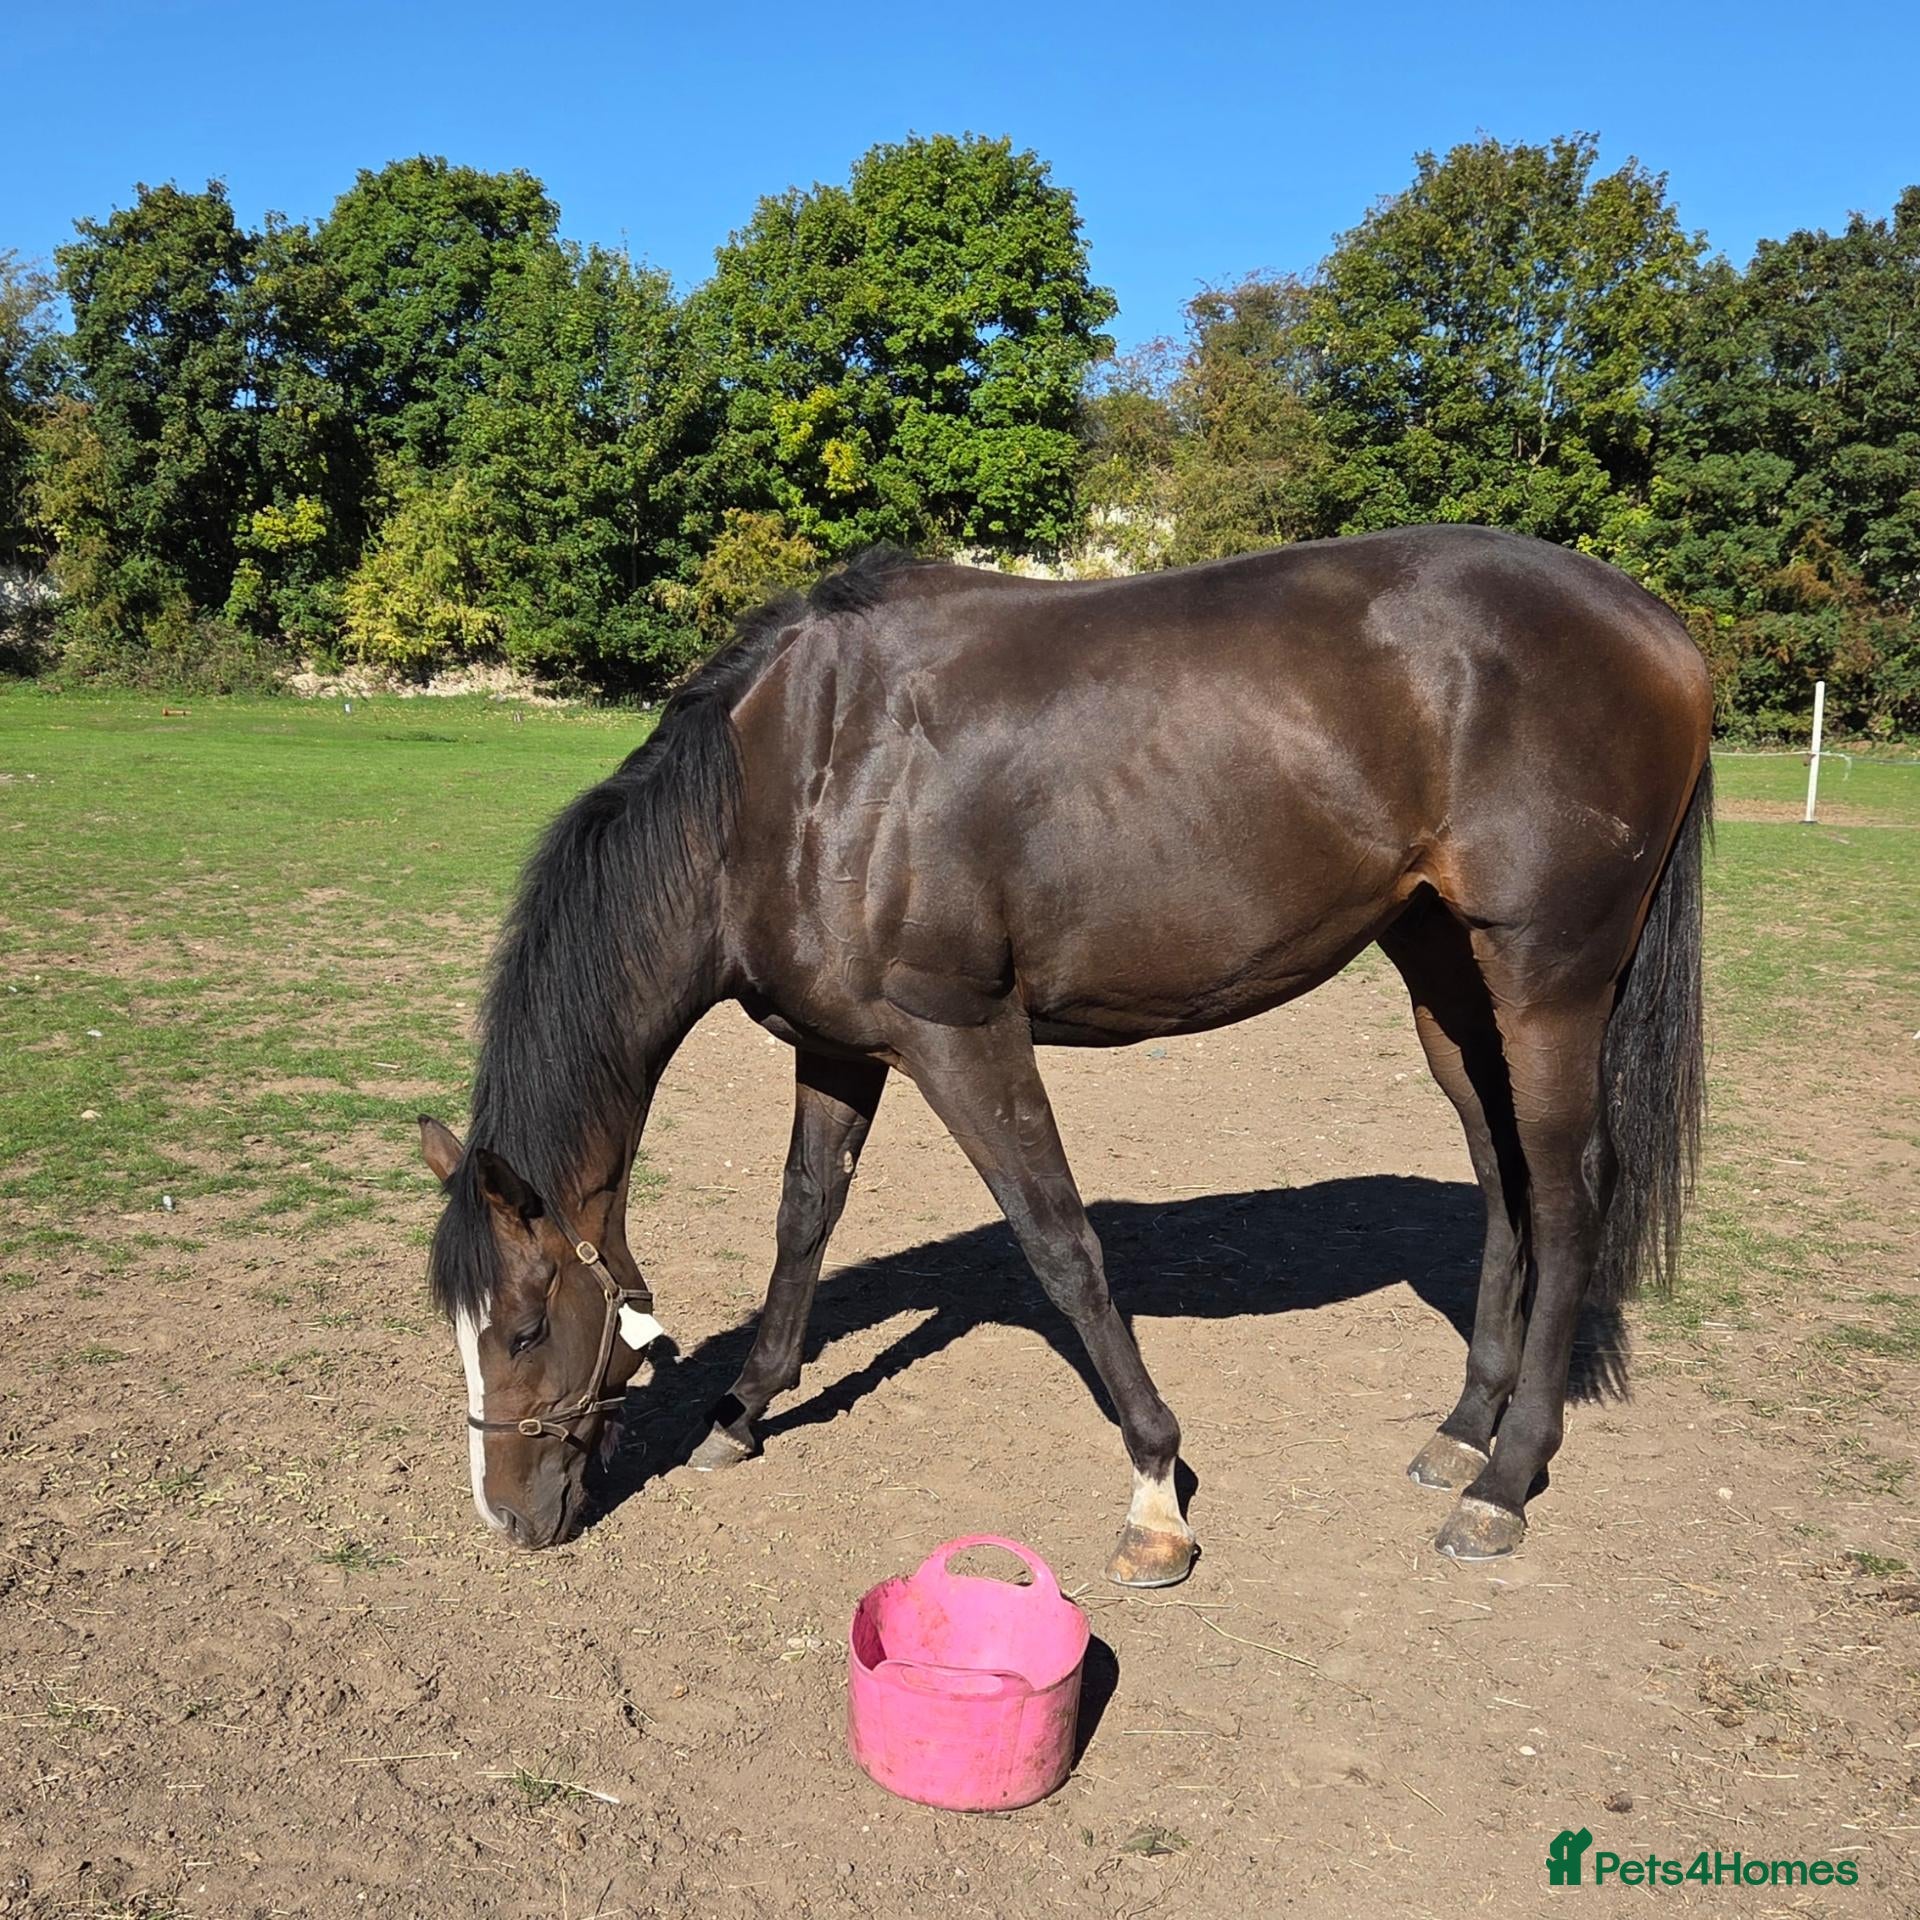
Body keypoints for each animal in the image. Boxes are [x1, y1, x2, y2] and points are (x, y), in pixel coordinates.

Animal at [418, 524, 1712, 1586]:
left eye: (524, 1328)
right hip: (1445, 971)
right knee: (1501, 1177)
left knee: (1568, 1188)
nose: (507, 1520)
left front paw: (1155, 1488)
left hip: (1549, 979)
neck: (802, 777)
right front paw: (740, 1413)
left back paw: (1505, 1480)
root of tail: (1658, 628)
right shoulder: (838, 1047)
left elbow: (1057, 1238)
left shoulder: (960, 1033)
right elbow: (804, 1218)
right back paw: (1462, 1431)